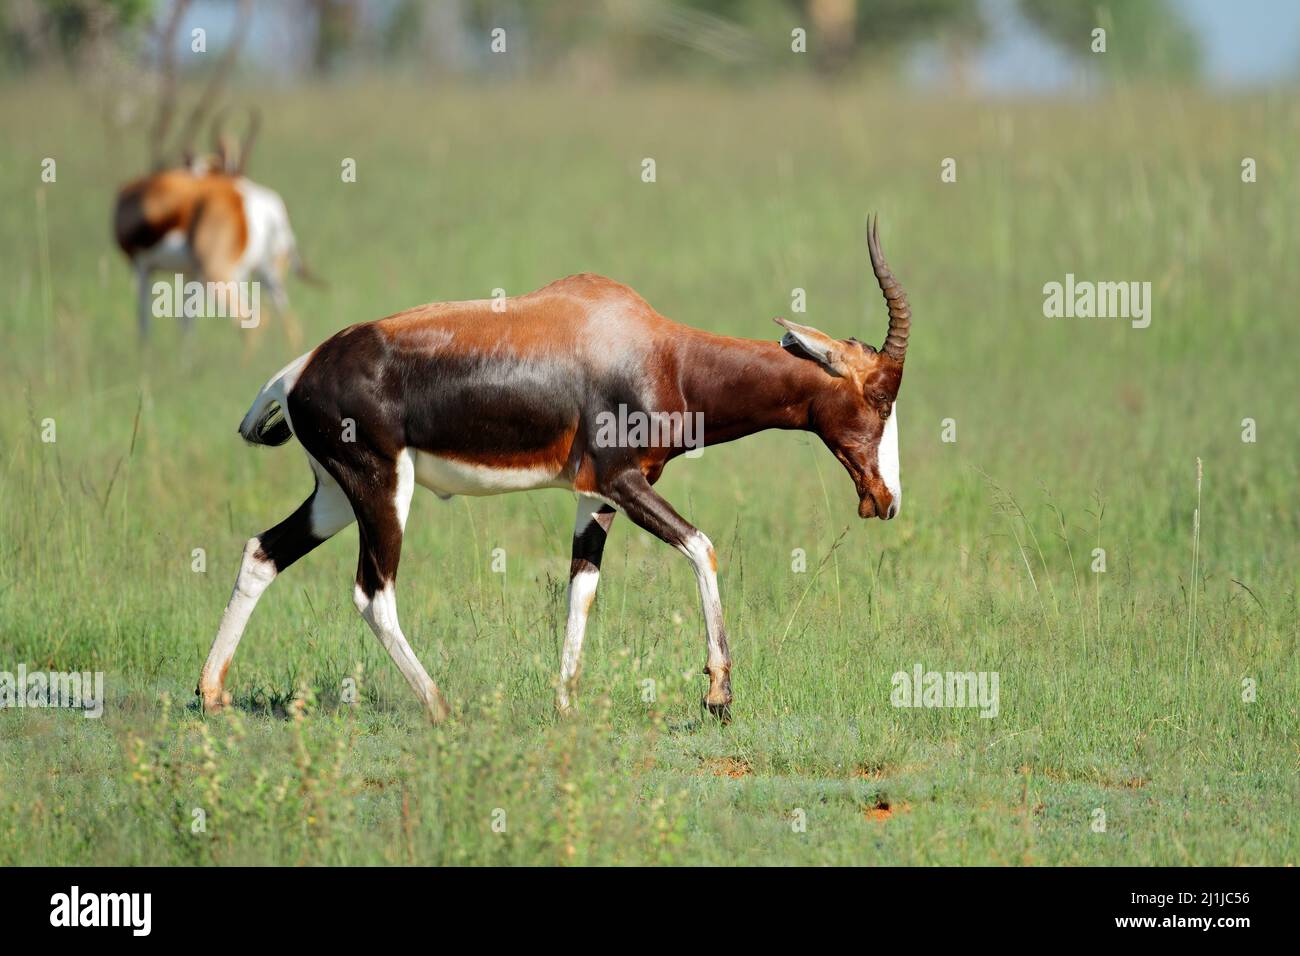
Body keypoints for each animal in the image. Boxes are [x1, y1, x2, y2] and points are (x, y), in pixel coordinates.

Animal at [200, 218, 915, 723]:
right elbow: (703, 547)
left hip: (334, 494)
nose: (886, 500)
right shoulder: (624, 482)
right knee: (373, 593)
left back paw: (211, 693)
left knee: (262, 553)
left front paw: (565, 705)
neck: (656, 349)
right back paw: (439, 706)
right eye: (879, 397)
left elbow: (582, 587)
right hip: (382, 490)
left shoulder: (594, 495)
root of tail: (296, 372)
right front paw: (717, 695)